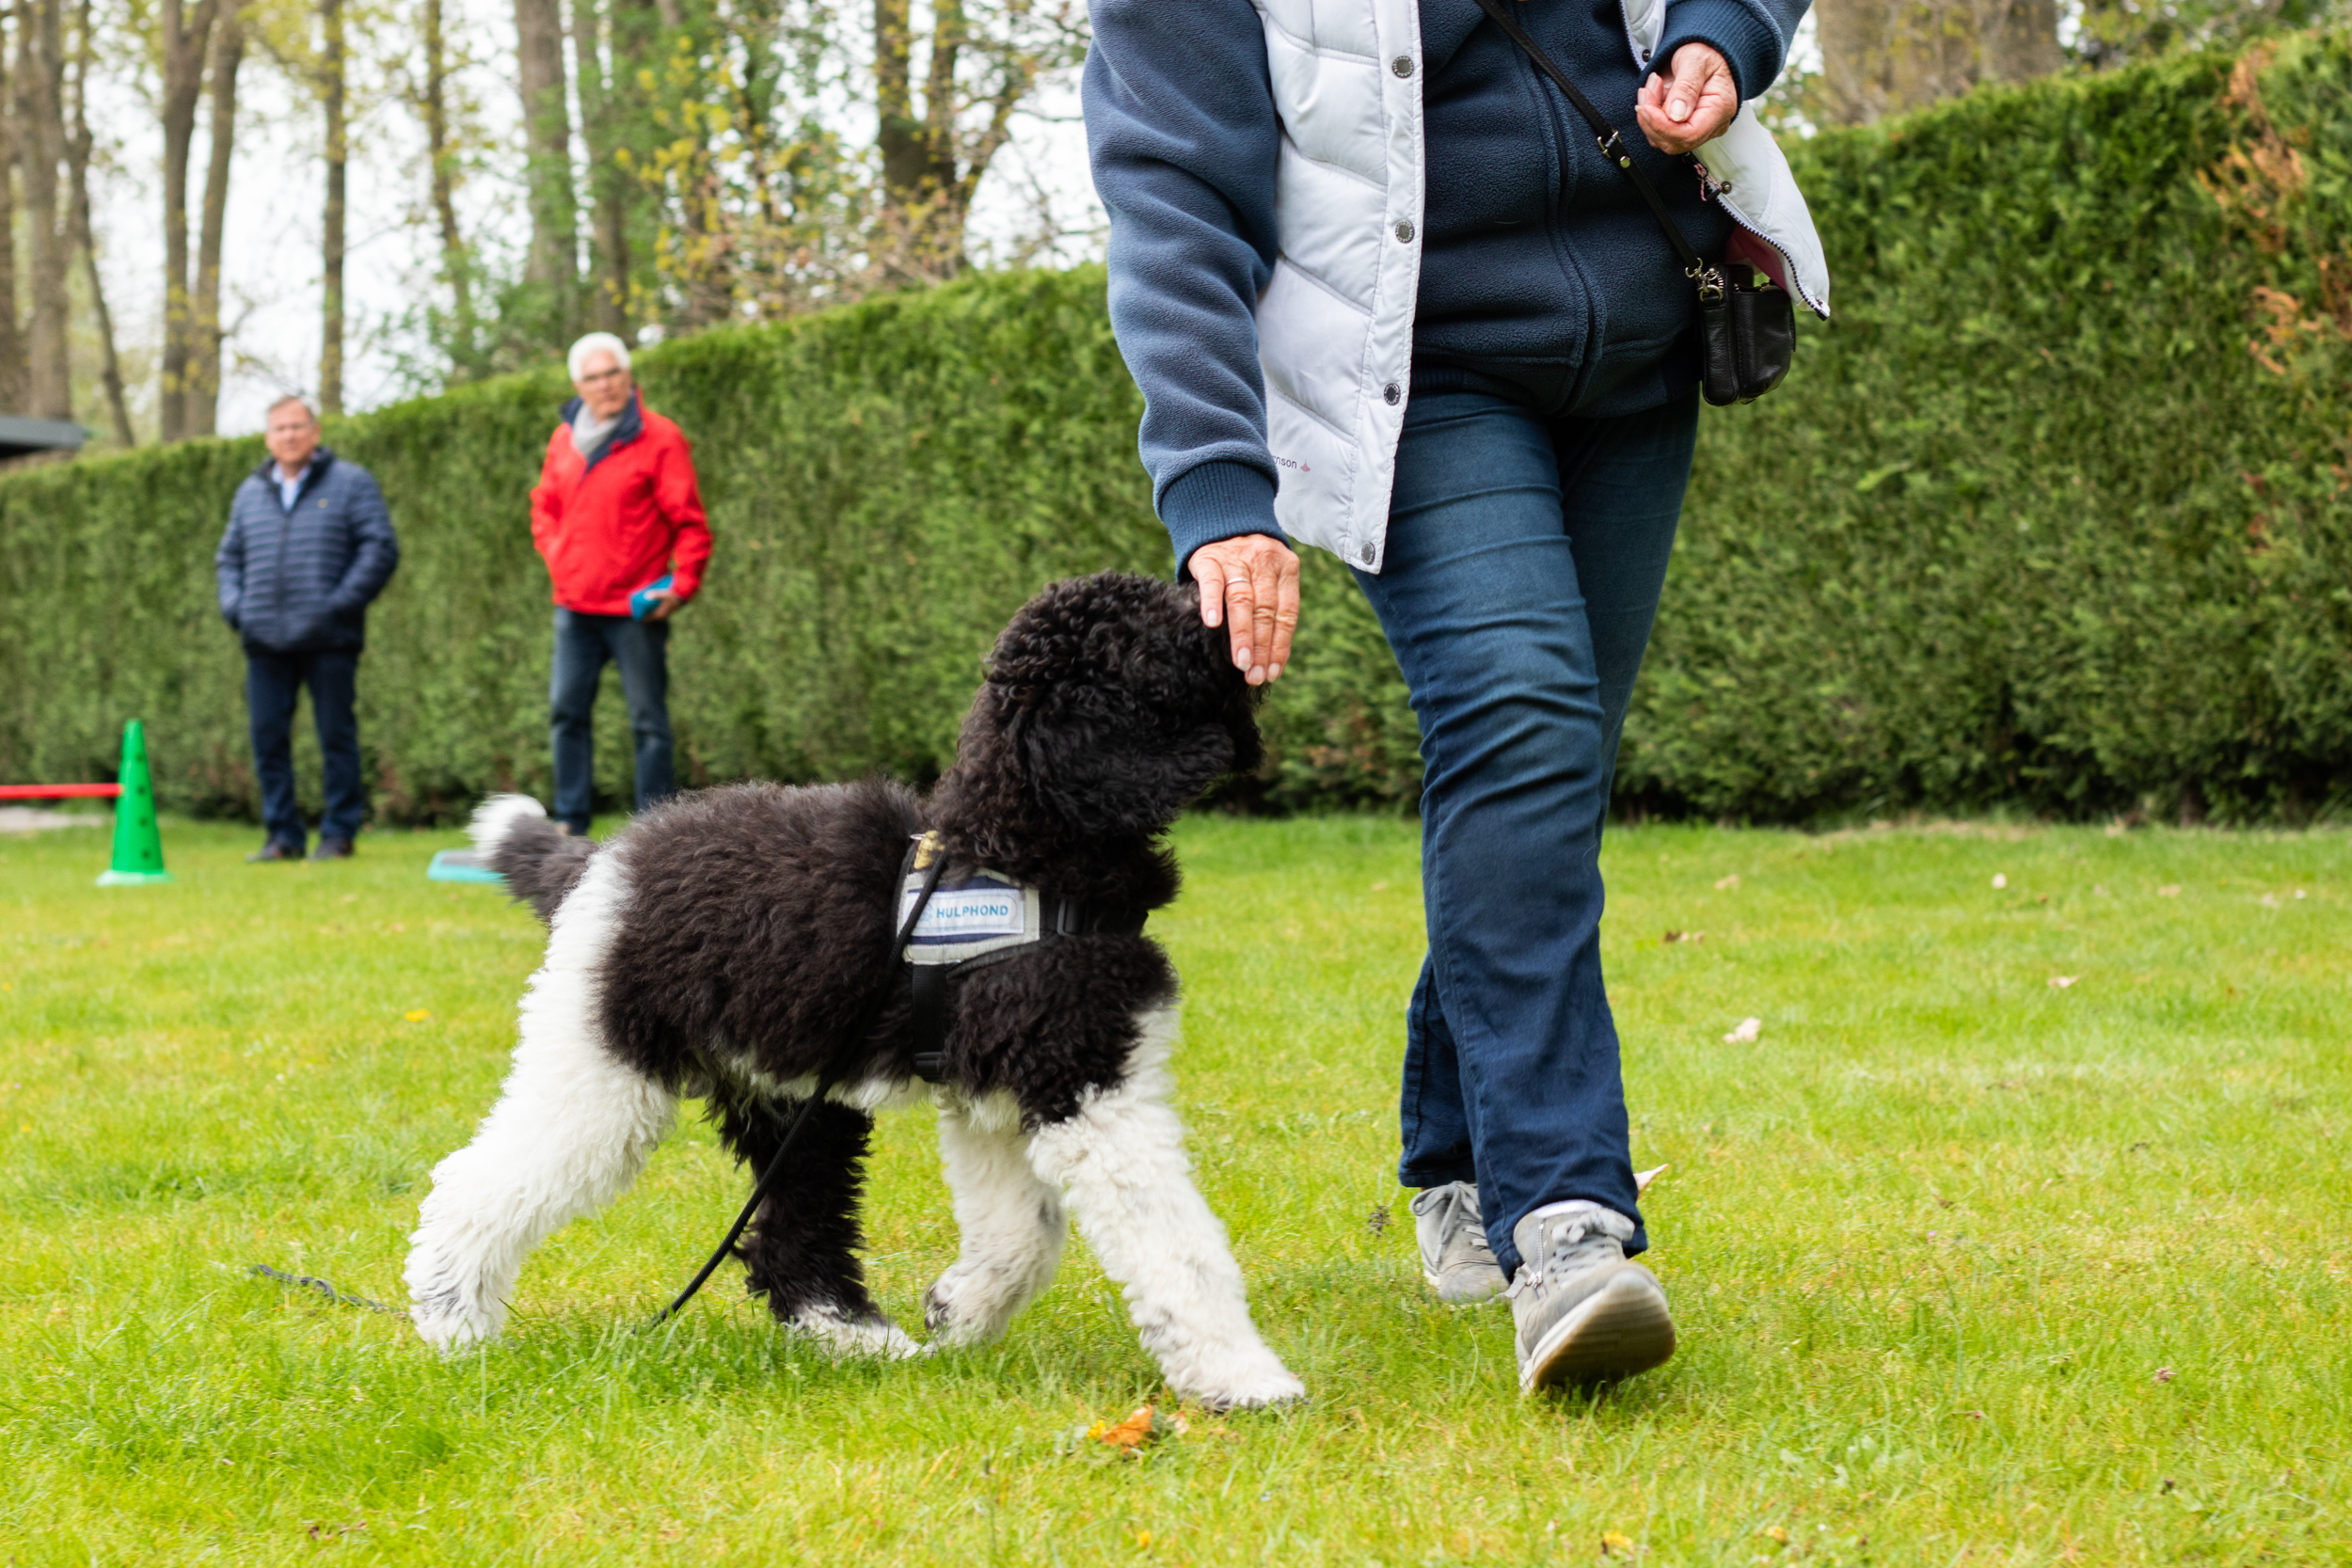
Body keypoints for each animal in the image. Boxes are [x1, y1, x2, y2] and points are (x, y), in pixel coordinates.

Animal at [411, 573, 1317, 1410]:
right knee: (476, 1183)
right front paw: (1244, 1378)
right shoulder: (1085, 1081)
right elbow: (1177, 1243)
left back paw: (861, 1342)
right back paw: (456, 1327)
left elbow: (1022, 1232)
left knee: (788, 1231)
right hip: (604, 1072)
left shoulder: (994, 1090)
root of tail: (604, 862)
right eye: (1152, 628)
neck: (1020, 844)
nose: (1228, 593)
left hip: (791, 1096)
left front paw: (960, 1309)